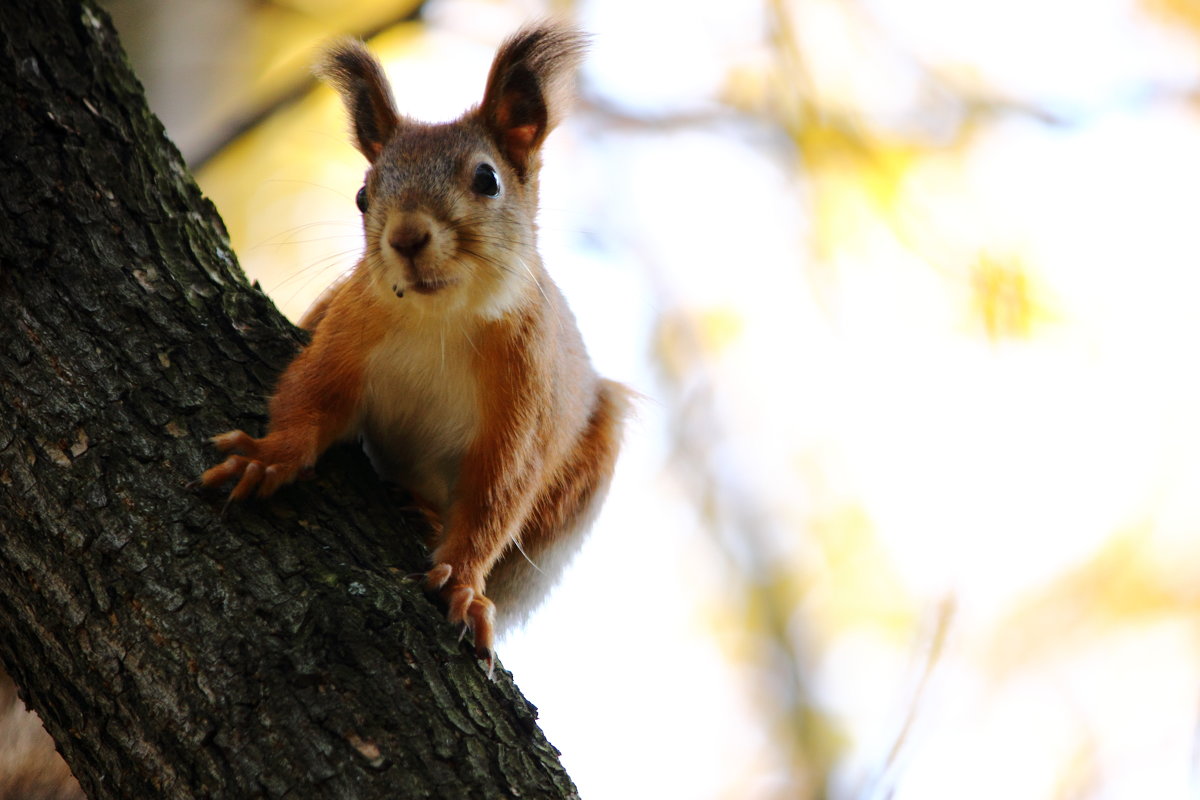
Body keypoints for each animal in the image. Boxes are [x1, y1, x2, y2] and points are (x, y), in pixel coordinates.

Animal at [199, 23, 628, 671]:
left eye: (487, 179)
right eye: (362, 195)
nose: (405, 236)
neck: (439, 321)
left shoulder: (525, 403)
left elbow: (496, 498)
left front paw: (465, 583)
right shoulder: (343, 337)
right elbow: (308, 402)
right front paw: (267, 456)